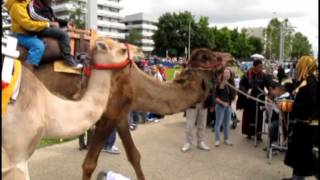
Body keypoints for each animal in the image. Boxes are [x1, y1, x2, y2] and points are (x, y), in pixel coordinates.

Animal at [31, 44, 230, 179]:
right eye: (206, 57)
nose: (230, 57)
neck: (136, 86)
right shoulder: (108, 117)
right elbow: (89, 164)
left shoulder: (120, 116)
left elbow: (135, 156)